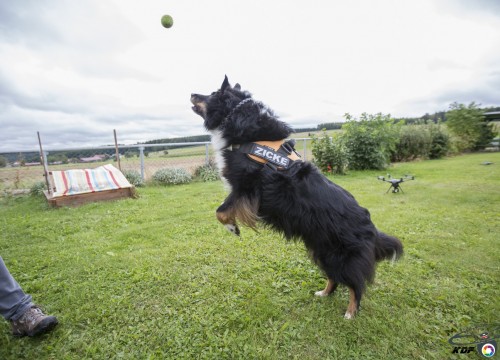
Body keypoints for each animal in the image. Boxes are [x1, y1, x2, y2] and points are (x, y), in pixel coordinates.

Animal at [189, 76, 404, 318]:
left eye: (212, 93)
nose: (192, 94)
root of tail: (372, 229)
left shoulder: (246, 187)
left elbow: (221, 211)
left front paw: (233, 228)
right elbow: (221, 209)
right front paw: (233, 227)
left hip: (341, 255)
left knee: (355, 284)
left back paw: (350, 313)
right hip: (322, 250)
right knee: (334, 277)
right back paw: (324, 293)